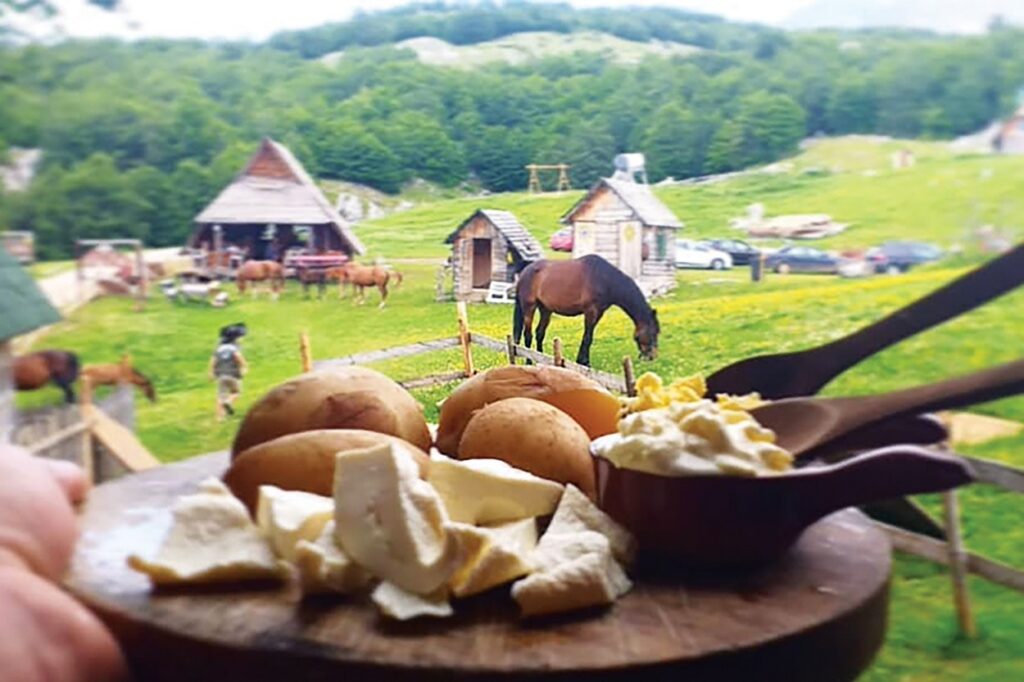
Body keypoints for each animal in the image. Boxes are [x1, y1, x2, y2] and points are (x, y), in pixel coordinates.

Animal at [512, 253, 663, 366]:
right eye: (653, 332)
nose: (653, 357)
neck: (605, 279)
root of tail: (524, 272)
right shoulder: (590, 311)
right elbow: (587, 337)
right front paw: (585, 362)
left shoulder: (598, 313)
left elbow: (588, 337)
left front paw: (583, 361)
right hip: (529, 308)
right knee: (528, 335)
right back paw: (529, 362)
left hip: (545, 310)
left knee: (539, 333)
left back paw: (541, 359)